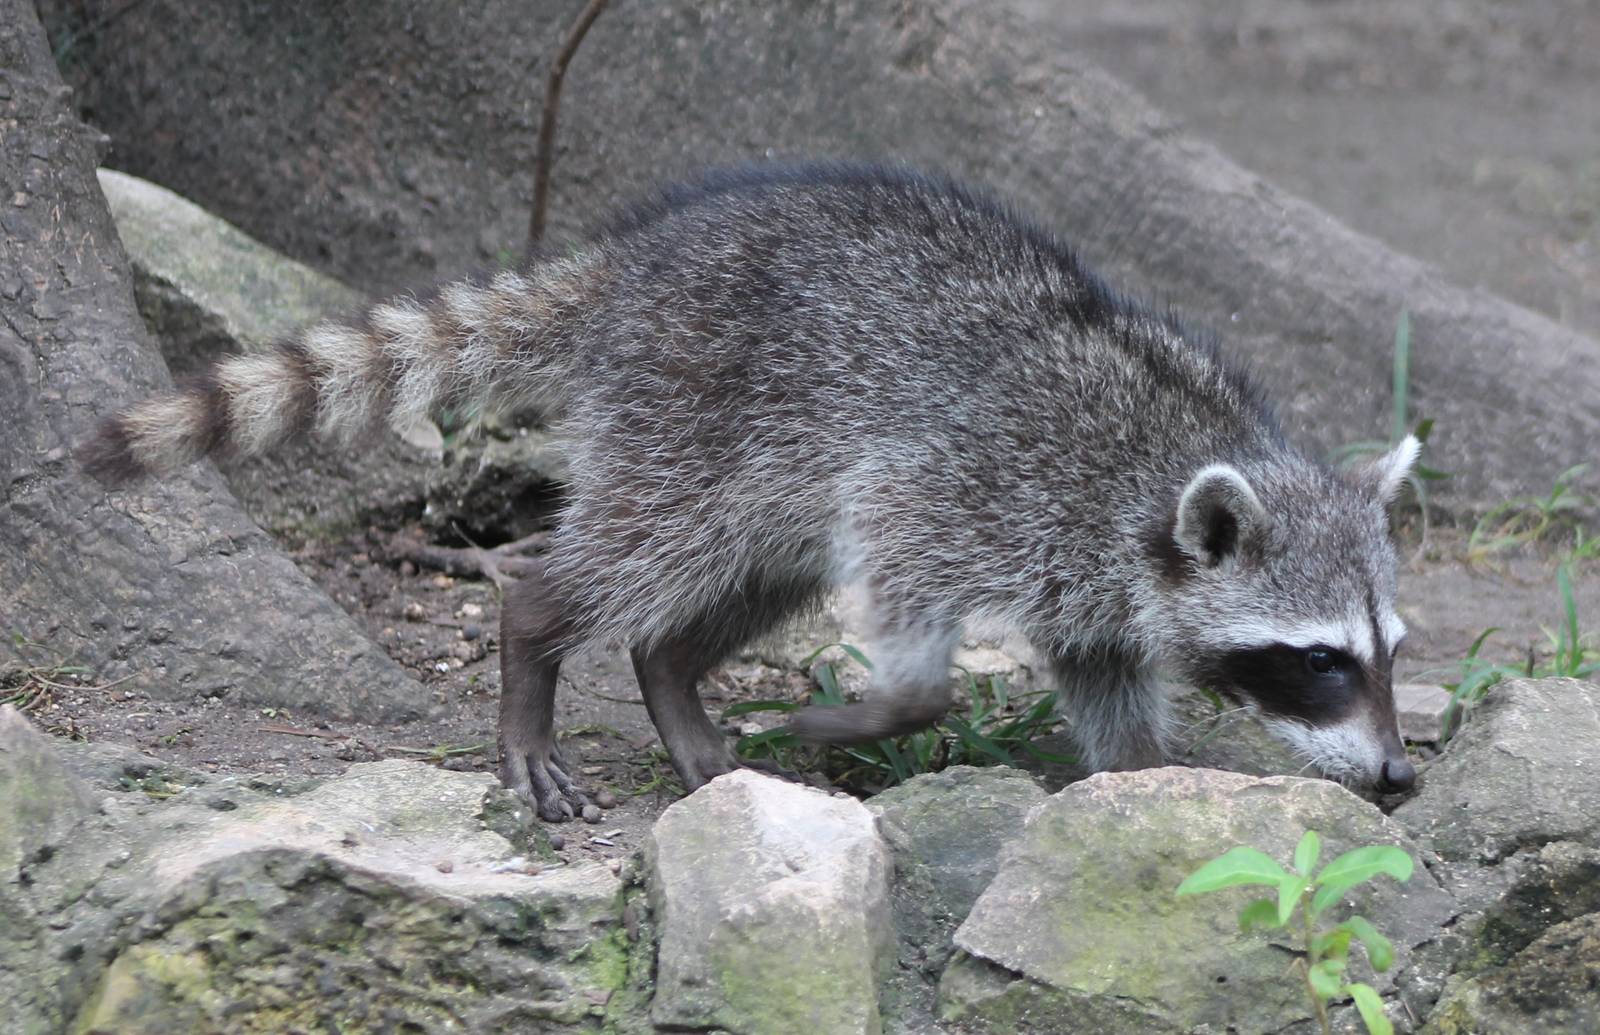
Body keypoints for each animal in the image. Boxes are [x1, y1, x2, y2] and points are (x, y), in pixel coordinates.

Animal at [85, 163, 1420, 821]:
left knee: (739, 584)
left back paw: (672, 680)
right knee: (629, 555)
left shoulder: (1092, 585)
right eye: (1317, 661)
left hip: (759, 472)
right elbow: (904, 580)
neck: (1166, 458)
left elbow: (1105, 686)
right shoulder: (973, 479)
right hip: (696, 416)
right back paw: (536, 637)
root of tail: (634, 268)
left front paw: (1135, 781)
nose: (1402, 777)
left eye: (1388, 653)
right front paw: (893, 708)